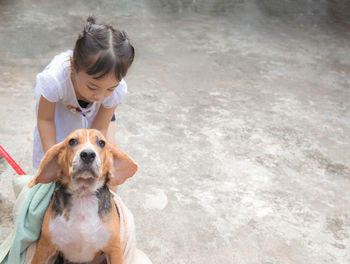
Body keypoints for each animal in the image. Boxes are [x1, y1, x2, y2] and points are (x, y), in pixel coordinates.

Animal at [28, 129, 137, 262]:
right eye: (72, 141)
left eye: (102, 143)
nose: (88, 155)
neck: (83, 195)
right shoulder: (44, 247)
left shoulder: (114, 249)